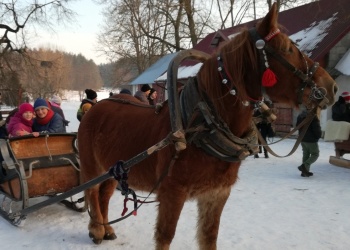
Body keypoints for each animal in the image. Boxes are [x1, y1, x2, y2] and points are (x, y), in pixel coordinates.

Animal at [78, 3, 336, 248]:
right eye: (287, 49)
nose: (330, 86)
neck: (201, 125)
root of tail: (97, 107)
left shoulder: (217, 194)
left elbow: (209, 237)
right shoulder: (172, 193)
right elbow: (165, 237)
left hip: (115, 170)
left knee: (104, 195)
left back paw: (107, 229)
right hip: (92, 168)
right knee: (92, 192)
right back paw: (97, 230)